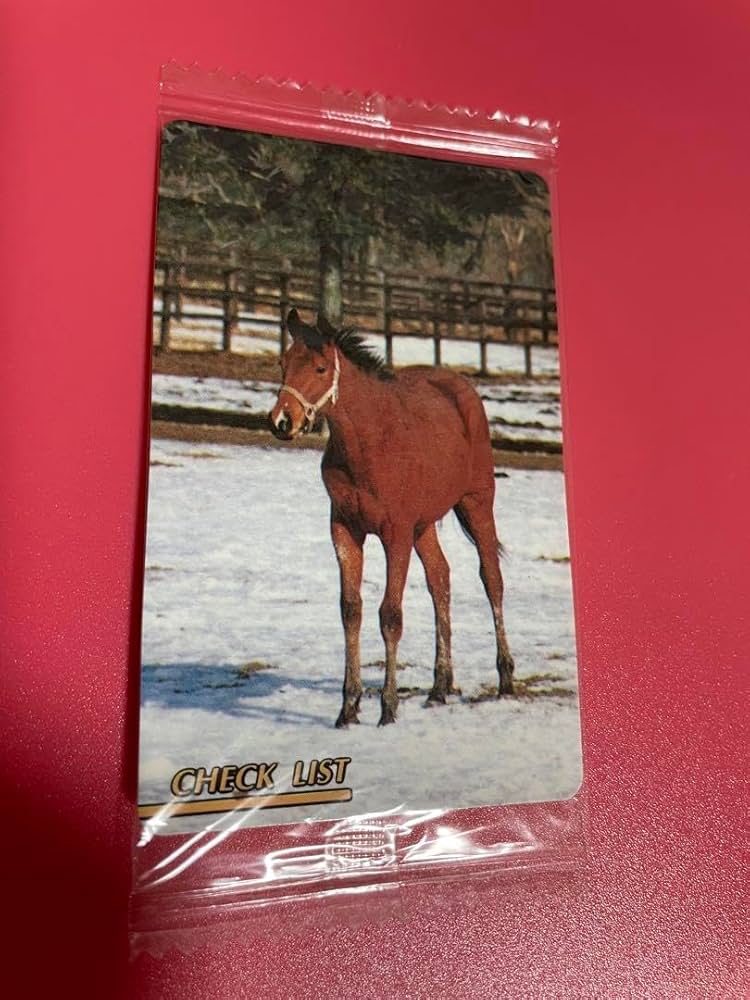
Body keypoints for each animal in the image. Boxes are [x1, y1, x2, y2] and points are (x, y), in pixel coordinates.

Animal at [269, 308, 514, 727]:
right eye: (284, 364)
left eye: (320, 368)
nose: (283, 421)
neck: (370, 441)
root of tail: (461, 388)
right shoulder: (345, 530)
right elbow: (351, 610)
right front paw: (348, 708)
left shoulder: (394, 533)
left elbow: (390, 615)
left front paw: (388, 708)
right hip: (424, 525)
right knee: (440, 579)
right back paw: (439, 687)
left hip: (476, 503)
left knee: (491, 579)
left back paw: (505, 679)